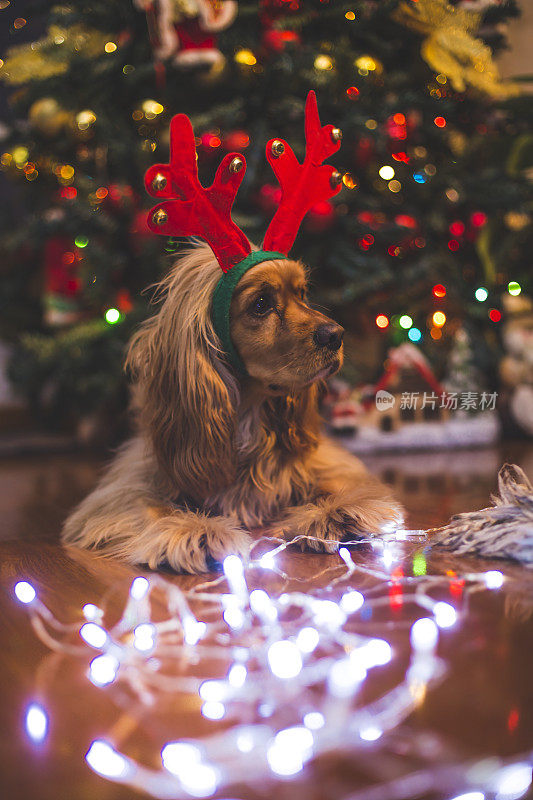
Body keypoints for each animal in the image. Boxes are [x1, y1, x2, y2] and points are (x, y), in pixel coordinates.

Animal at [62, 241, 404, 572]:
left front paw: (339, 512)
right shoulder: (128, 483)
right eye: (261, 304)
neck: (247, 418)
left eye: (302, 293)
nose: (336, 335)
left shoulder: (327, 462)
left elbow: (337, 481)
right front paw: (196, 531)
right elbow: (152, 507)